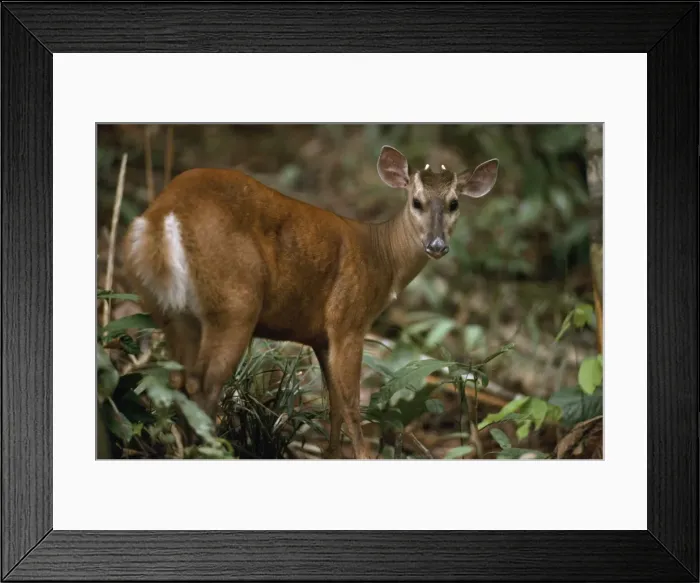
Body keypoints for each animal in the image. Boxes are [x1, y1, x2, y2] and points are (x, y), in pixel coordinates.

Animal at [122, 145, 499, 459]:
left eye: (454, 203)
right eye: (416, 201)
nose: (436, 245)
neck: (382, 257)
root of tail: (163, 216)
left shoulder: (320, 336)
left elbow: (333, 403)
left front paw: (331, 455)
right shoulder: (348, 320)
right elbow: (351, 403)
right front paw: (364, 456)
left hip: (169, 310)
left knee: (179, 382)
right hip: (235, 303)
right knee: (204, 386)